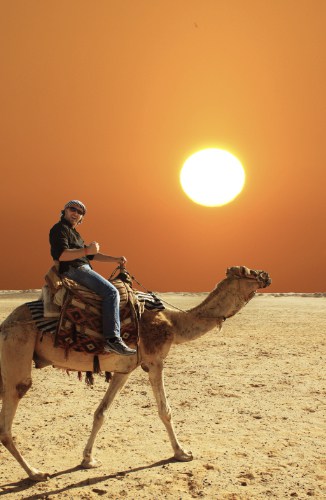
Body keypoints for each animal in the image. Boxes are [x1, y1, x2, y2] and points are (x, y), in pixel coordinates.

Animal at [0, 266, 270, 480]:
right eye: (248, 271)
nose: (266, 275)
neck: (174, 323)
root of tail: (5, 325)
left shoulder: (125, 369)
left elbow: (101, 413)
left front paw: (88, 459)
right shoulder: (155, 359)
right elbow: (165, 411)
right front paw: (182, 452)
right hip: (17, 349)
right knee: (11, 412)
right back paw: (35, 473)